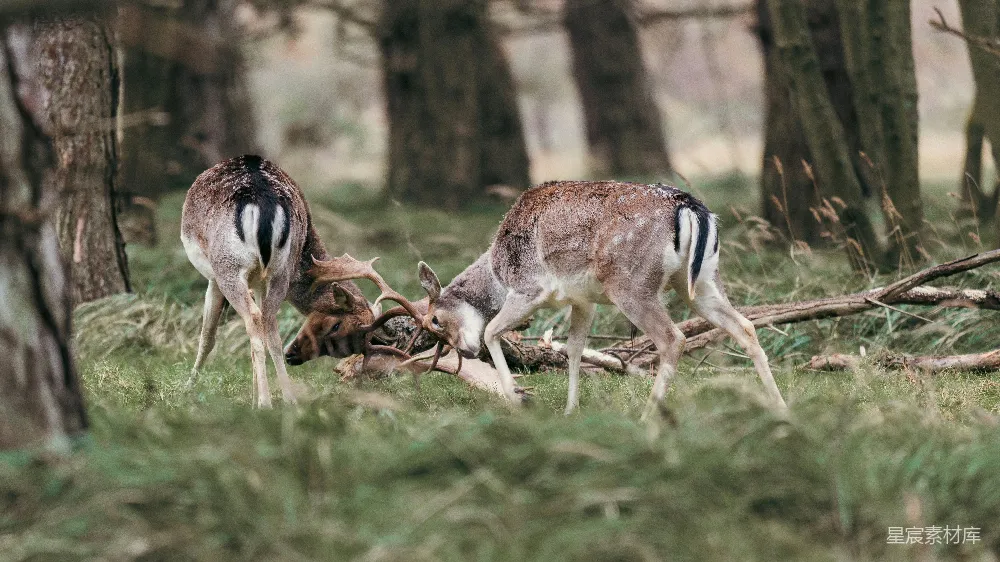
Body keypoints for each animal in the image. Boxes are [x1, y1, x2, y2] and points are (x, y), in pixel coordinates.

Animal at [181, 155, 417, 407]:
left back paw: (266, 402)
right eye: (339, 326)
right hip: (278, 271)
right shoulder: (258, 281)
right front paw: (252, 396)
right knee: (268, 323)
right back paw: (287, 398)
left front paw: (188, 389)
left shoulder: (215, 277)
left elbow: (208, 335)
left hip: (227, 267)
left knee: (255, 319)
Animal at [412, 180, 788, 415]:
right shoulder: (584, 300)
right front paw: (570, 409)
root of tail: (692, 208)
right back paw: (780, 407)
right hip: (703, 281)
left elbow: (492, 330)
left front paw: (518, 399)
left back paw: (648, 417)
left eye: (435, 320)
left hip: (632, 285)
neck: (497, 273)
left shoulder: (530, 287)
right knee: (745, 326)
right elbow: (573, 349)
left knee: (673, 338)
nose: (465, 351)